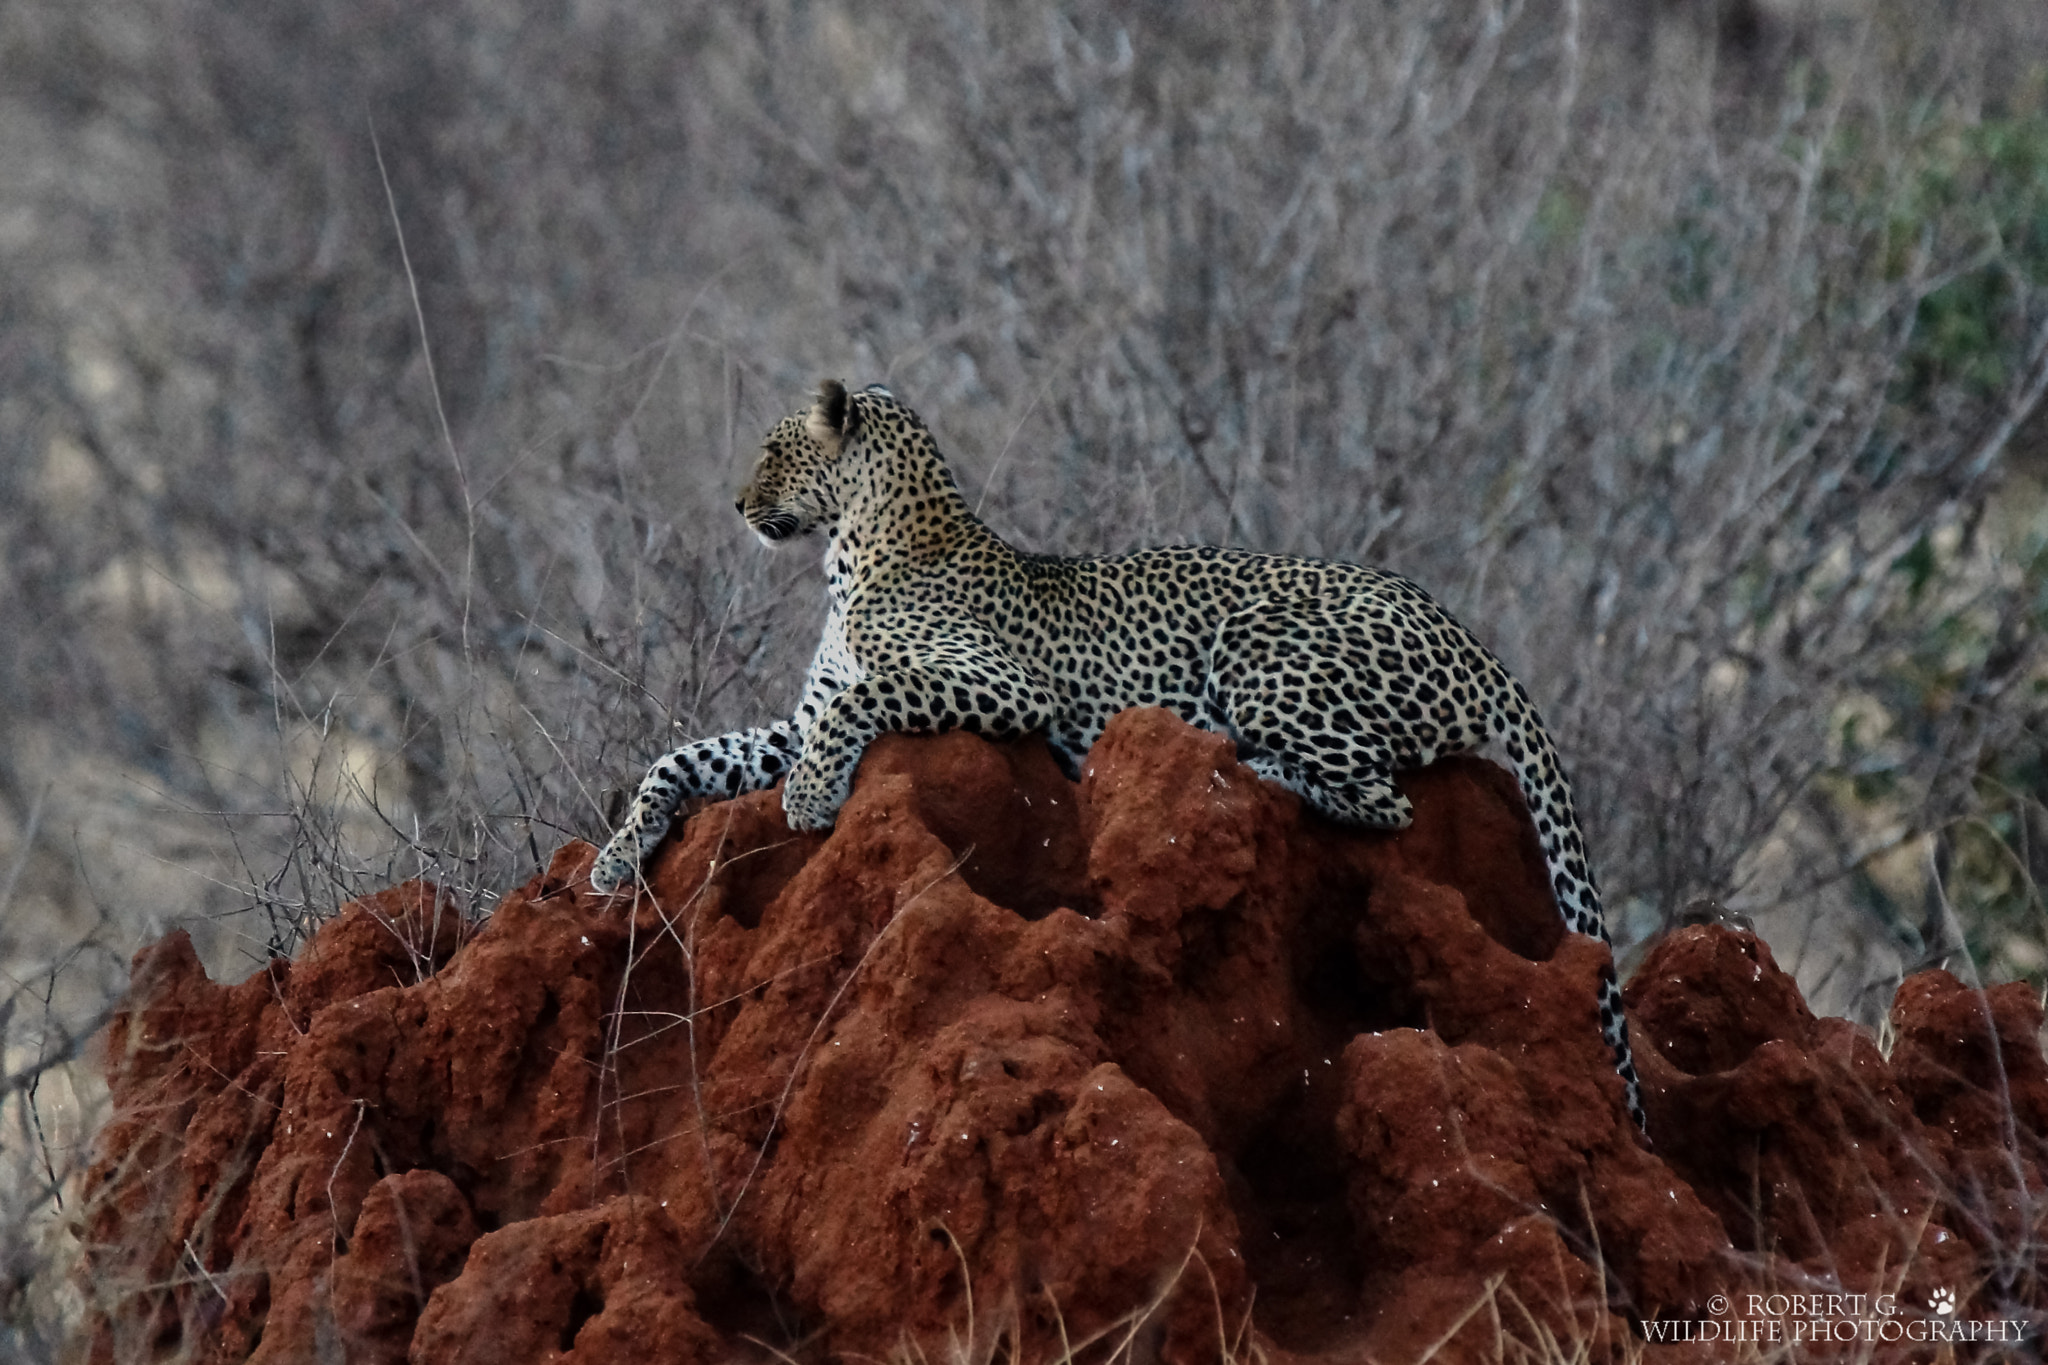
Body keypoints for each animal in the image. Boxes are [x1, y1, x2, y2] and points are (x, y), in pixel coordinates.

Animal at [593, 376, 1646, 1129]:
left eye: (776, 451)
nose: (737, 504)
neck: (858, 551)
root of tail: (1472, 634)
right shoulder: (795, 716)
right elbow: (685, 755)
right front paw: (614, 858)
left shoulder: (1001, 685)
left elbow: (863, 698)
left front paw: (812, 799)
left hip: (1261, 645)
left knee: (1385, 796)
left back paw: (1238, 762)